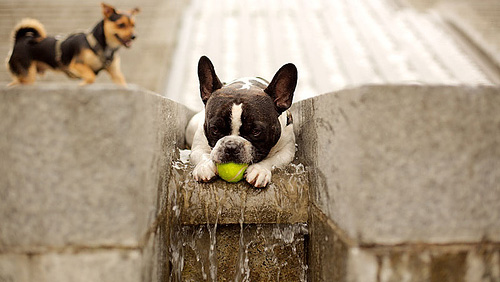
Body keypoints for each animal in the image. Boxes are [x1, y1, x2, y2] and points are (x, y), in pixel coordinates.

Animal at [5, 2, 140, 86]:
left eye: (133, 25)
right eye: (121, 25)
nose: (134, 36)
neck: (104, 46)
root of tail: (20, 39)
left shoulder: (116, 75)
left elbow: (123, 85)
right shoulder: (76, 64)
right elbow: (91, 76)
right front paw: (83, 84)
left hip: (24, 77)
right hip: (28, 75)